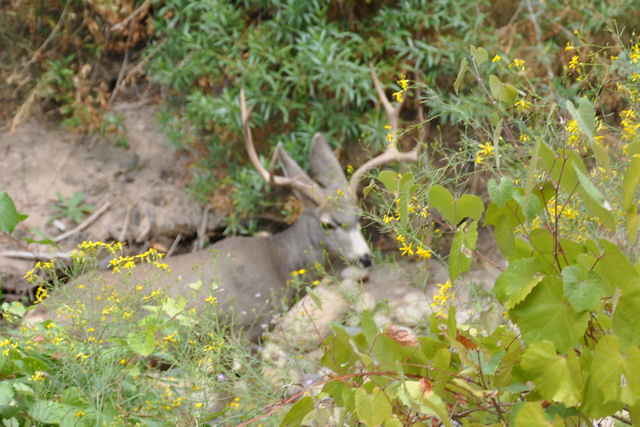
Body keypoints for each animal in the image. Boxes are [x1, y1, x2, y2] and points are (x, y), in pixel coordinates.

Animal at [26, 65, 420, 342]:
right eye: (328, 223)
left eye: (360, 218)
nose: (366, 258)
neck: (280, 264)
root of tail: (33, 318)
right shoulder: (248, 322)